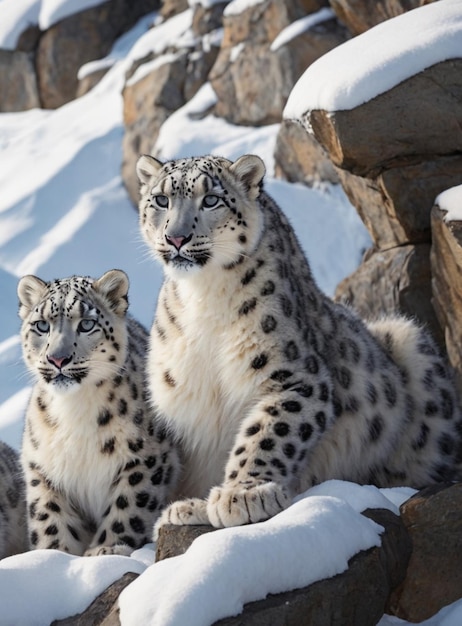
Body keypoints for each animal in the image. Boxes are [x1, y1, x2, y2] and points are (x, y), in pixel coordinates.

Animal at [17, 270, 179, 552]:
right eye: (41, 325)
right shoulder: (42, 470)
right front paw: (55, 554)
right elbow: (50, 519)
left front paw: (108, 549)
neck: (74, 409)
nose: (57, 359)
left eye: (86, 324)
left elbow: (128, 508)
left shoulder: (145, 459)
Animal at [134, 154, 462, 528]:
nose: (175, 238)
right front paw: (192, 506)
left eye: (211, 199)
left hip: (409, 344)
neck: (203, 296)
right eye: (161, 200)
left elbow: (266, 432)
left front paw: (244, 495)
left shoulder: (294, 376)